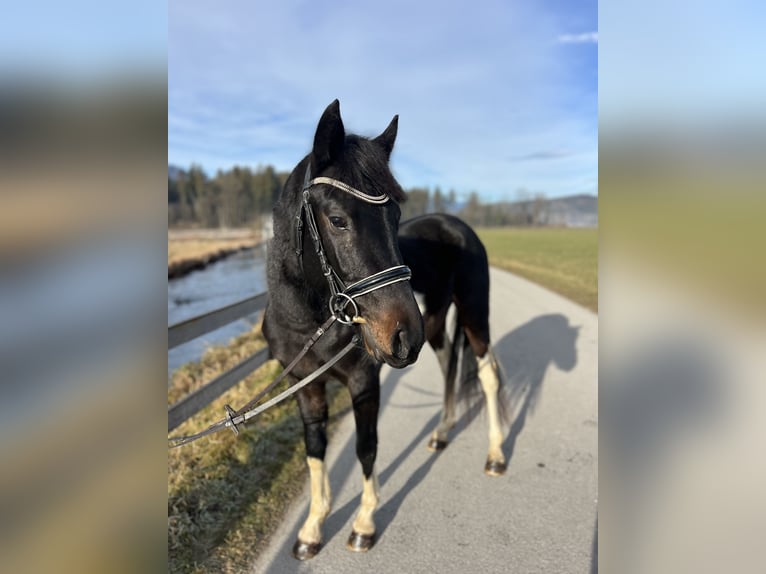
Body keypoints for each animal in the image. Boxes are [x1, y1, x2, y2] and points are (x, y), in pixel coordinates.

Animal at [264, 100, 510, 564]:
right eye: (337, 219)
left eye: (395, 215)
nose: (402, 337)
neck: (310, 322)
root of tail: (457, 224)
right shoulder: (306, 386)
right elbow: (315, 450)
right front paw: (311, 529)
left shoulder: (364, 381)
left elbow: (366, 447)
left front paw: (363, 523)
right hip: (435, 323)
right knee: (449, 361)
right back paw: (441, 433)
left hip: (472, 315)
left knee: (487, 374)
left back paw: (496, 454)